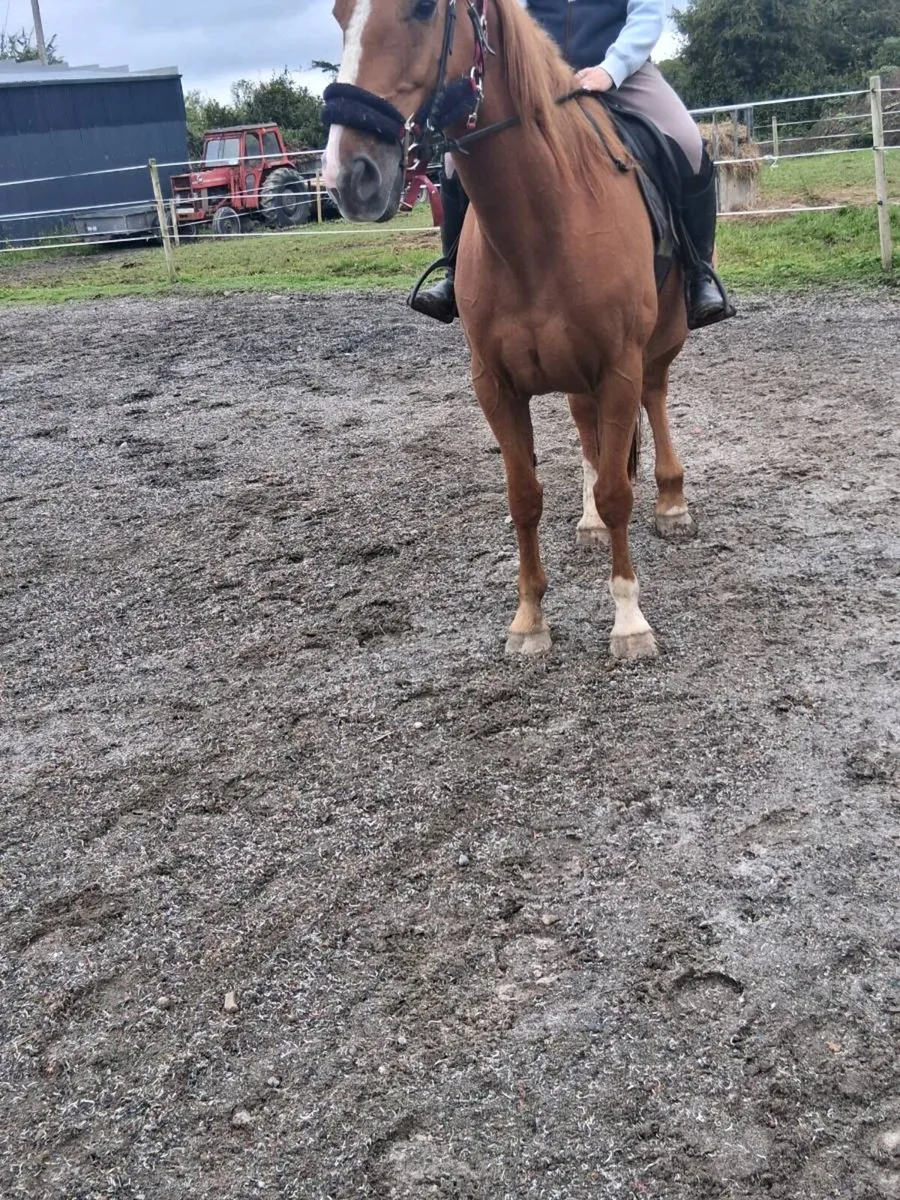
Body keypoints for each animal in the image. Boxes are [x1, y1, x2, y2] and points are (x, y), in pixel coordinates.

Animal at [321, 0, 697, 659]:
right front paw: (528, 620)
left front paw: (629, 621)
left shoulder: (619, 368)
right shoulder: (495, 386)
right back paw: (589, 523)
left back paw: (672, 502)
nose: (351, 174)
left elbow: (619, 493)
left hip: (659, 342)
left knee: (655, 399)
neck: (542, 224)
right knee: (587, 430)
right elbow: (524, 498)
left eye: (423, 9)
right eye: (340, 16)